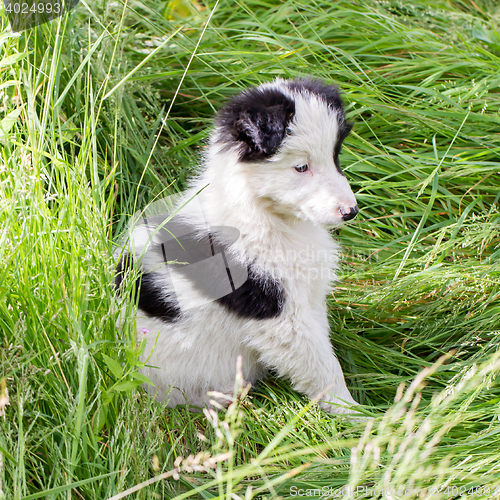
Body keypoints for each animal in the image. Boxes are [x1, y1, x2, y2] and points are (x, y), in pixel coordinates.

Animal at [115, 77, 362, 414]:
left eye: (335, 156)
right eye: (301, 167)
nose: (351, 211)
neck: (265, 217)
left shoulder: (308, 299)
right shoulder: (279, 315)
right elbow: (323, 366)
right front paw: (358, 415)